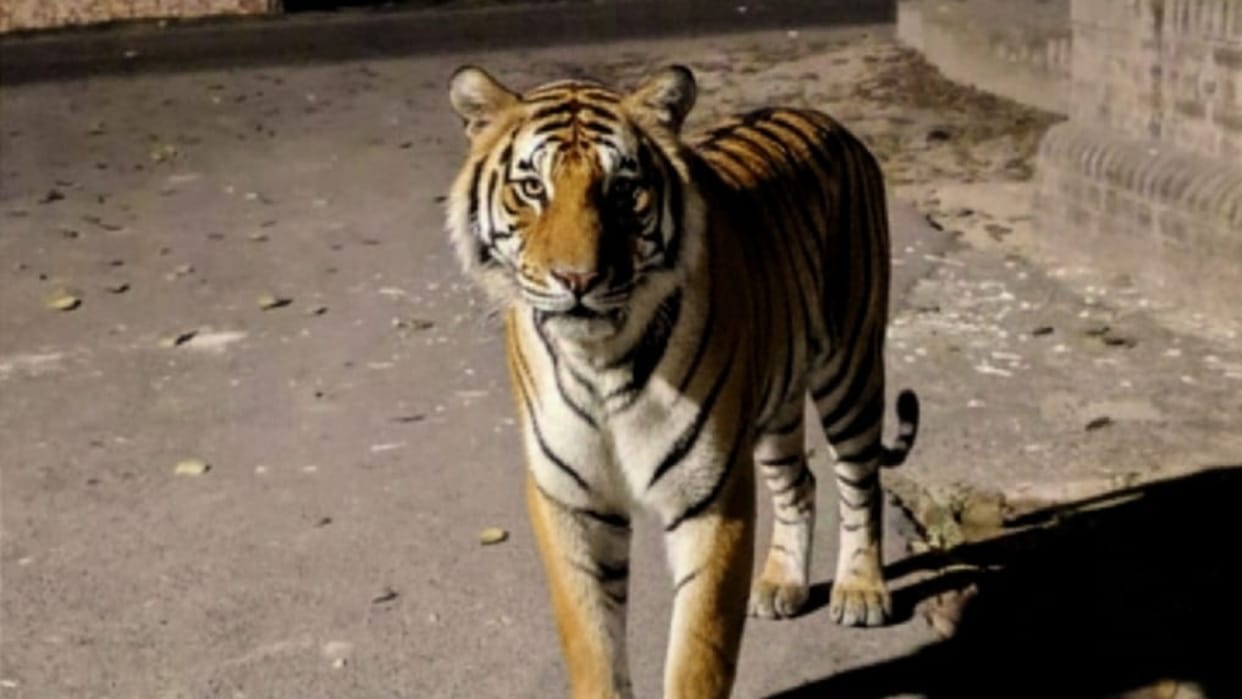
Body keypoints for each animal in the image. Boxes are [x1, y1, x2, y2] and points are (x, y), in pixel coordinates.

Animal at [444, 63, 919, 698]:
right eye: (533, 188)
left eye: (622, 190)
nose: (577, 280)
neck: (599, 360)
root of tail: (828, 120)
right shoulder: (570, 497)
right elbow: (593, 644)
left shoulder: (711, 496)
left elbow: (699, 649)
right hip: (774, 406)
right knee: (801, 481)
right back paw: (782, 584)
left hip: (851, 367)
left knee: (860, 481)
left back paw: (861, 590)